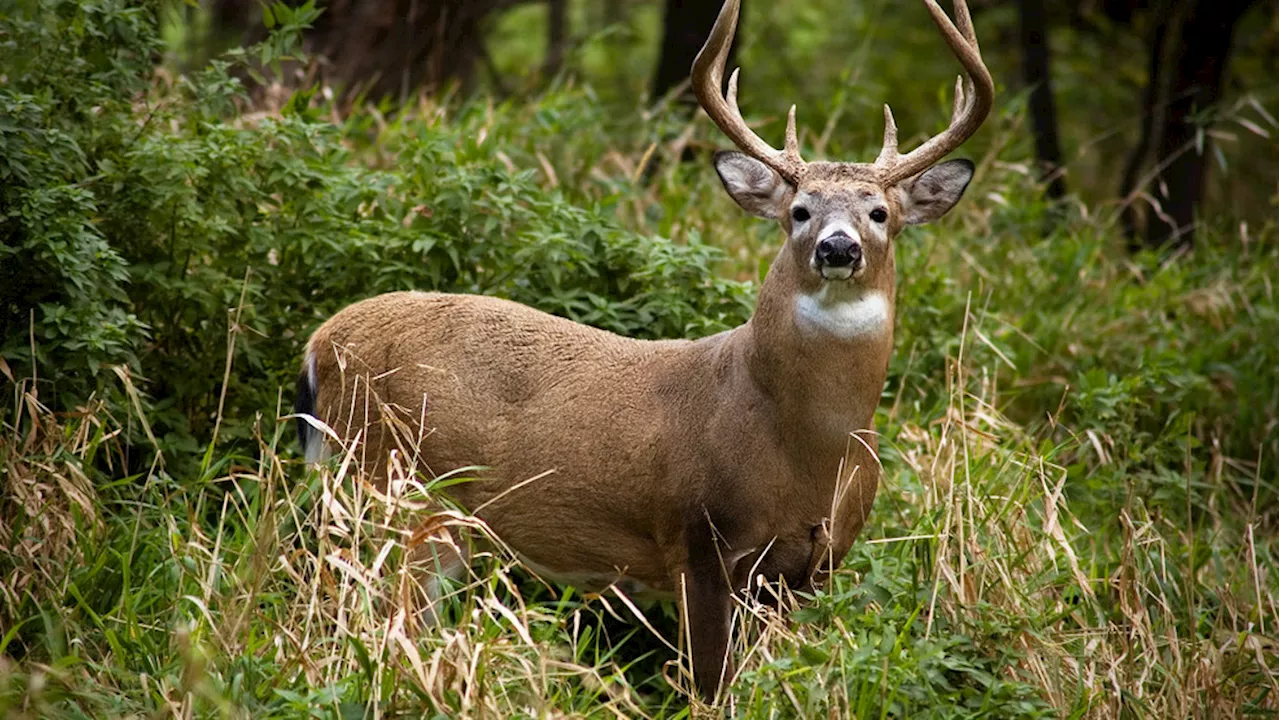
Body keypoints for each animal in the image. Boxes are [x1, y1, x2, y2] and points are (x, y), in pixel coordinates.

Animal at [294, 0, 993, 702]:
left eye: (880, 213)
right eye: (798, 210)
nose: (838, 247)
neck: (806, 446)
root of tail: (320, 342)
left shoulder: (813, 566)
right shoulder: (698, 537)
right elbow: (710, 685)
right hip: (390, 485)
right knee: (363, 613)